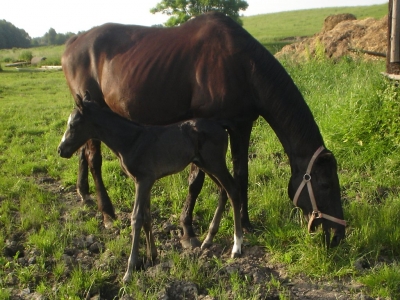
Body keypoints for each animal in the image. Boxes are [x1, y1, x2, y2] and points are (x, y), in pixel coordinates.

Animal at [57, 92, 242, 284]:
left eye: (73, 124)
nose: (61, 150)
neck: (131, 140)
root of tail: (220, 125)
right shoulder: (144, 182)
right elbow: (146, 217)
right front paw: (151, 257)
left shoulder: (143, 180)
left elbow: (136, 218)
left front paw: (129, 271)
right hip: (205, 164)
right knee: (223, 190)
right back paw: (208, 239)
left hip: (214, 163)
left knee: (233, 189)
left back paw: (236, 247)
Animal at [63, 11, 346, 247]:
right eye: (325, 184)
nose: (338, 235)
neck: (240, 65)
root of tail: (73, 42)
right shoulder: (203, 127)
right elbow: (196, 181)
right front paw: (188, 230)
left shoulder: (241, 125)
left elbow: (241, 175)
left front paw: (245, 223)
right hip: (95, 113)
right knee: (94, 159)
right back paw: (107, 214)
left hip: (88, 116)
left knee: (82, 152)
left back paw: (84, 193)